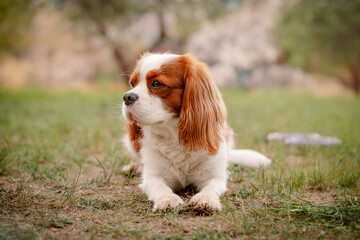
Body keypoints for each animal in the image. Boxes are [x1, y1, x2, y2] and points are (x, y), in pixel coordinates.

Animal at [121, 53, 270, 212]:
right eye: (132, 84)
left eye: (156, 83)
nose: (127, 97)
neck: (175, 136)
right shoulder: (153, 176)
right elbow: (160, 186)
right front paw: (168, 199)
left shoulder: (215, 176)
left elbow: (211, 187)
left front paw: (206, 199)